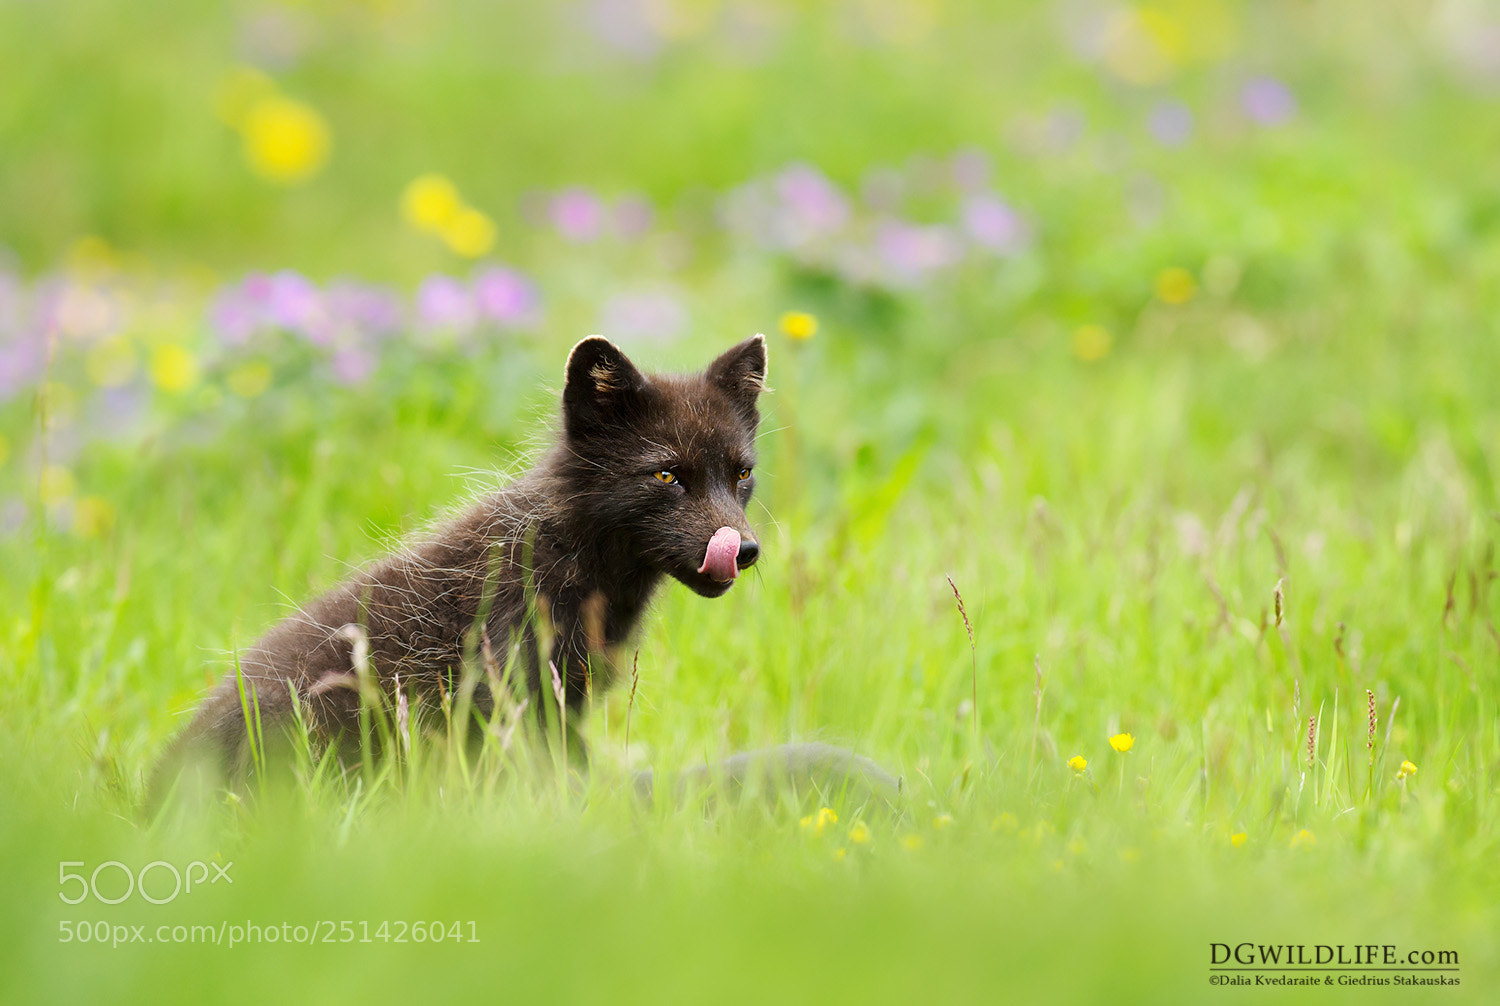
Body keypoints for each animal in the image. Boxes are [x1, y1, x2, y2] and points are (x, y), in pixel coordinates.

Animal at [148, 334, 897, 813]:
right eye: (666, 475)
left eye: (741, 474)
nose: (742, 550)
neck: (574, 563)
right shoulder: (510, 690)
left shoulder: (565, 703)